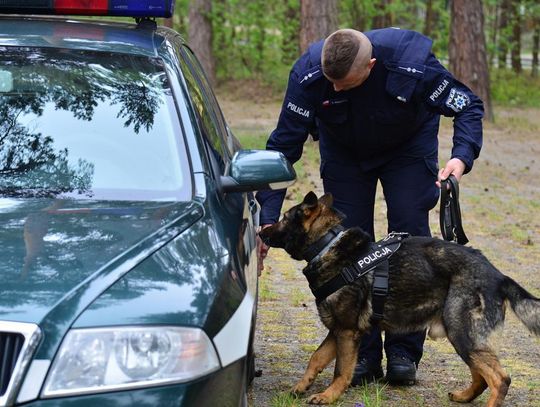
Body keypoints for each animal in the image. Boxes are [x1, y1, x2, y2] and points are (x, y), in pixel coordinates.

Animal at [258, 192, 540, 407]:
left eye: (283, 219)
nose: (261, 232)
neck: (327, 246)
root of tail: (499, 275)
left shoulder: (347, 332)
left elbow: (340, 371)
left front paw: (328, 396)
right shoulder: (337, 331)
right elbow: (316, 359)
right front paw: (300, 387)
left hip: (462, 334)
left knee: (499, 379)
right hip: (462, 337)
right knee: (481, 375)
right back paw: (463, 396)